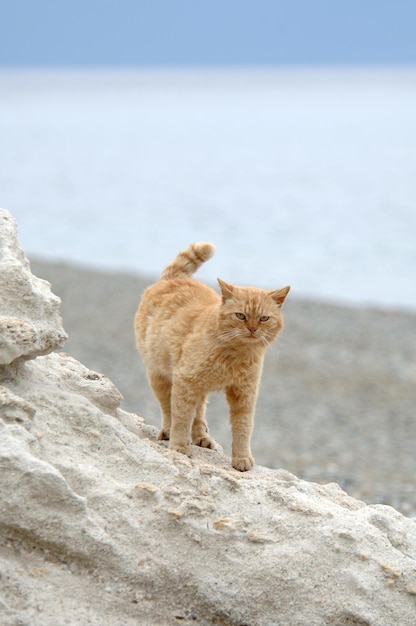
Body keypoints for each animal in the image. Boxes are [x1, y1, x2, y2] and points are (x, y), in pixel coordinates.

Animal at [134, 241, 290, 470]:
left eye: (264, 318)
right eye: (240, 316)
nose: (252, 329)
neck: (236, 355)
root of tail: (173, 278)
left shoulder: (245, 394)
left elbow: (243, 427)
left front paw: (242, 457)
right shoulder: (185, 381)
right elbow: (181, 416)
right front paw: (179, 446)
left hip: (198, 388)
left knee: (199, 412)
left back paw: (201, 436)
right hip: (159, 376)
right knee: (168, 409)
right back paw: (169, 431)